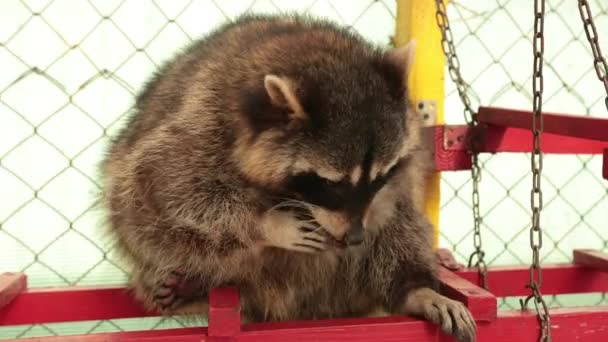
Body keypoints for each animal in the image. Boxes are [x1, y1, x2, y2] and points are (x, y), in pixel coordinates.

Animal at [100, 13, 478, 342]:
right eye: (331, 184)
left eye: (380, 176)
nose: (355, 238)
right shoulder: (203, 120)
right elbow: (165, 184)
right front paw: (269, 223)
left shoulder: (396, 175)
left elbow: (395, 213)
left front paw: (415, 284)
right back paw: (193, 288)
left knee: (396, 226)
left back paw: (413, 287)